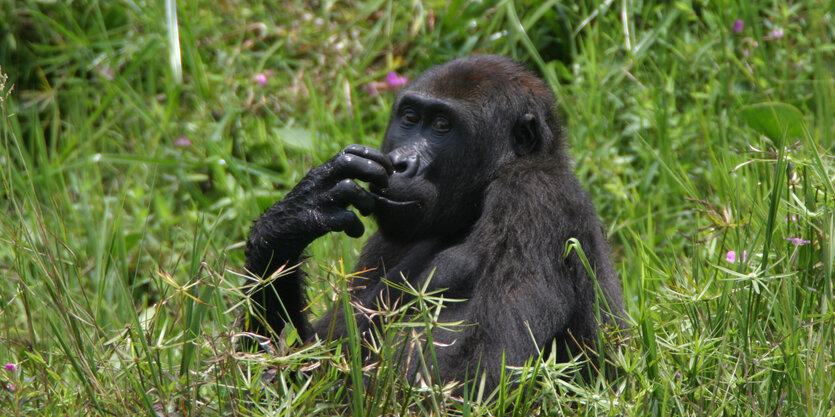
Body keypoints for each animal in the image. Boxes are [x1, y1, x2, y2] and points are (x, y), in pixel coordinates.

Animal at [245, 55, 624, 390]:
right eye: (410, 118)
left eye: (442, 126)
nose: (400, 163)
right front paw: (295, 217)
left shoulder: (533, 194)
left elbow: (476, 372)